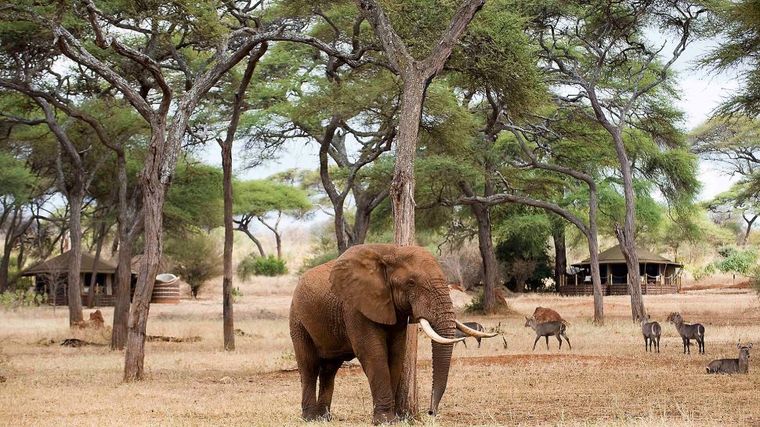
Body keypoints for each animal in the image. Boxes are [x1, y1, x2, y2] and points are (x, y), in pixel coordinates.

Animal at [288, 244, 496, 424]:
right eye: (411, 283)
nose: (431, 412)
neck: (391, 251)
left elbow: (396, 354)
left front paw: (394, 418)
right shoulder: (355, 307)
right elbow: (374, 354)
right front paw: (385, 421)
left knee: (329, 369)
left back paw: (324, 418)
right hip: (297, 320)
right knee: (309, 366)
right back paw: (310, 419)